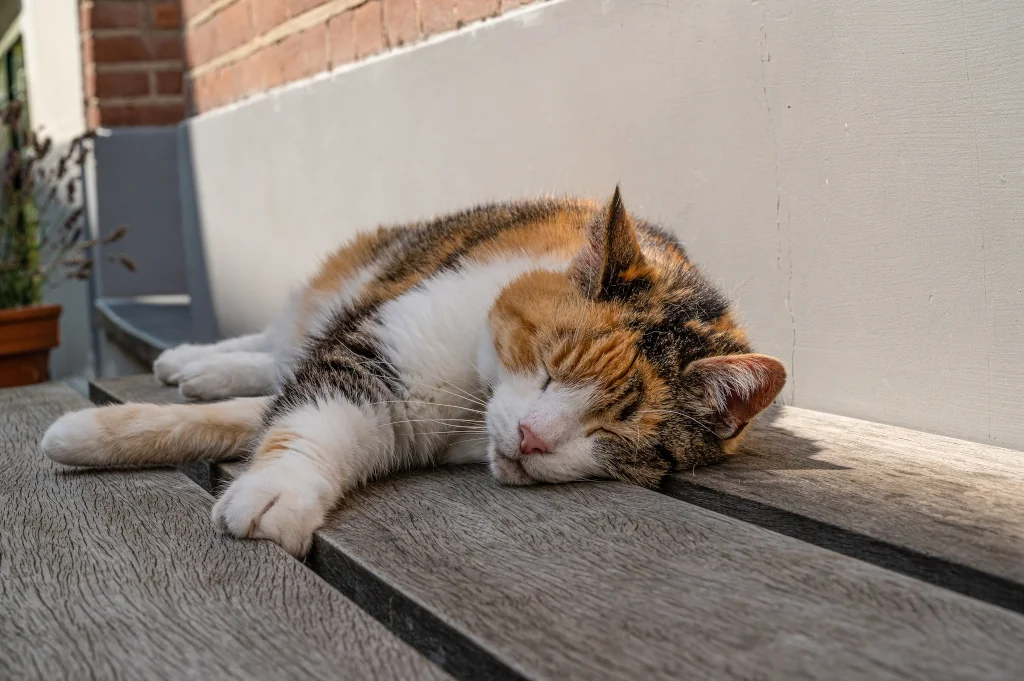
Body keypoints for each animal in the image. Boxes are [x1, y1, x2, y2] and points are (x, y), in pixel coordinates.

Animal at [37, 188, 782, 557]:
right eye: (548, 365)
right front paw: (276, 490)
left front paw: (92, 433)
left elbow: (249, 417)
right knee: (279, 344)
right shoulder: (373, 354)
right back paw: (191, 358)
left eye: (617, 431)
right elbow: (308, 414)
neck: (472, 395)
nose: (533, 438)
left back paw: (203, 371)